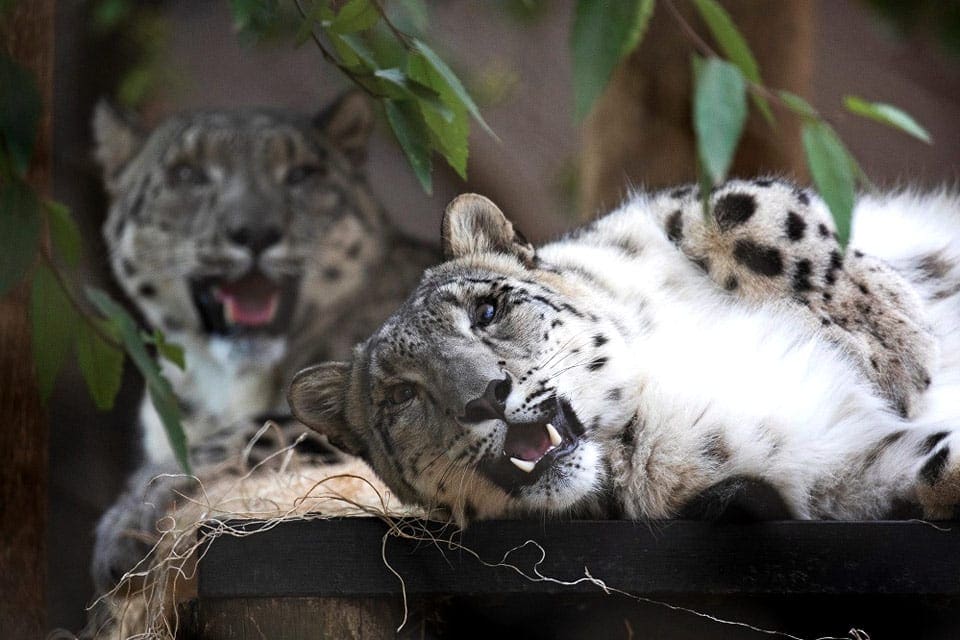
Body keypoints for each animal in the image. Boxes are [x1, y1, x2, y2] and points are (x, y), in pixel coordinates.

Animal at [89, 91, 436, 592]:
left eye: (302, 174)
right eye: (187, 173)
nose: (254, 232)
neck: (226, 385)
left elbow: (247, 432)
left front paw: (126, 526)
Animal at [288, 180, 960, 524]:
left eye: (487, 311)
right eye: (401, 395)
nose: (486, 396)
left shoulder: (666, 210)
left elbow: (749, 215)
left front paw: (895, 346)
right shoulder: (835, 466)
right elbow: (934, 473)